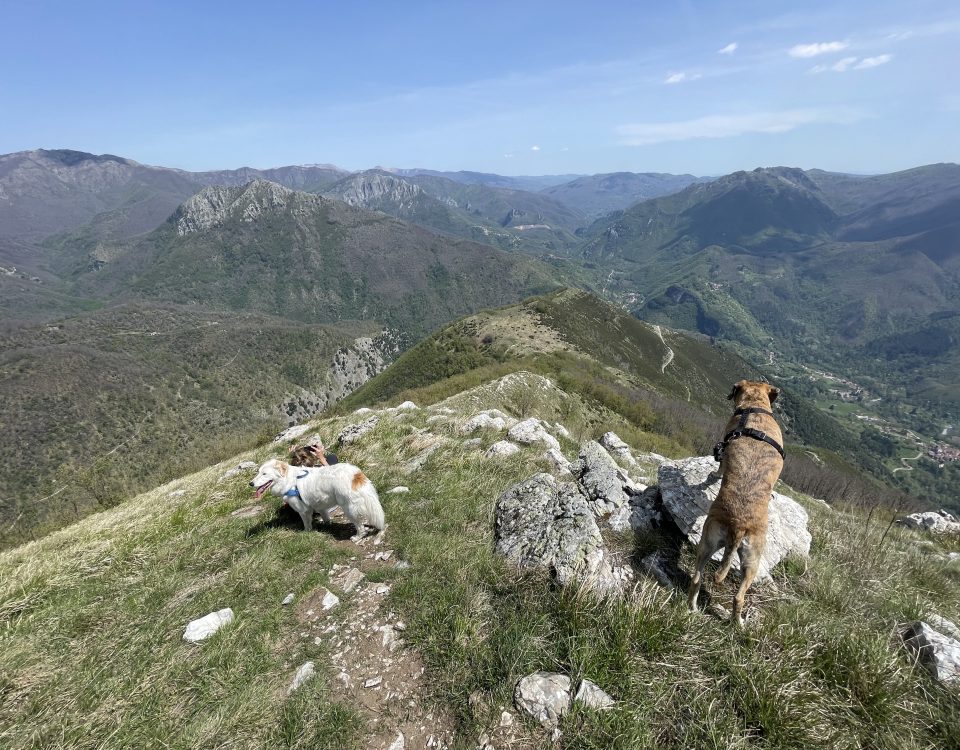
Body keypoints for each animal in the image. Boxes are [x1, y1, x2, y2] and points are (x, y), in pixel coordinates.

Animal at [251, 458, 386, 540]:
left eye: (264, 474)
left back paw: (357, 536)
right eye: (258, 472)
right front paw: (327, 526)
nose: (250, 483)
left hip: (349, 508)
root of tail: (356, 475)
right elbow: (325, 517)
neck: (289, 480)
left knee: (360, 526)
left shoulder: (303, 510)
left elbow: (306, 524)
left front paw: (307, 532)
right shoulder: (320, 506)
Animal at [688, 382, 784, 628]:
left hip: (712, 544)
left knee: (699, 579)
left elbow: (721, 465)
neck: (754, 407)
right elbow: (720, 467)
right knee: (737, 596)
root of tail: (739, 523)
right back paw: (738, 623)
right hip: (752, 558)